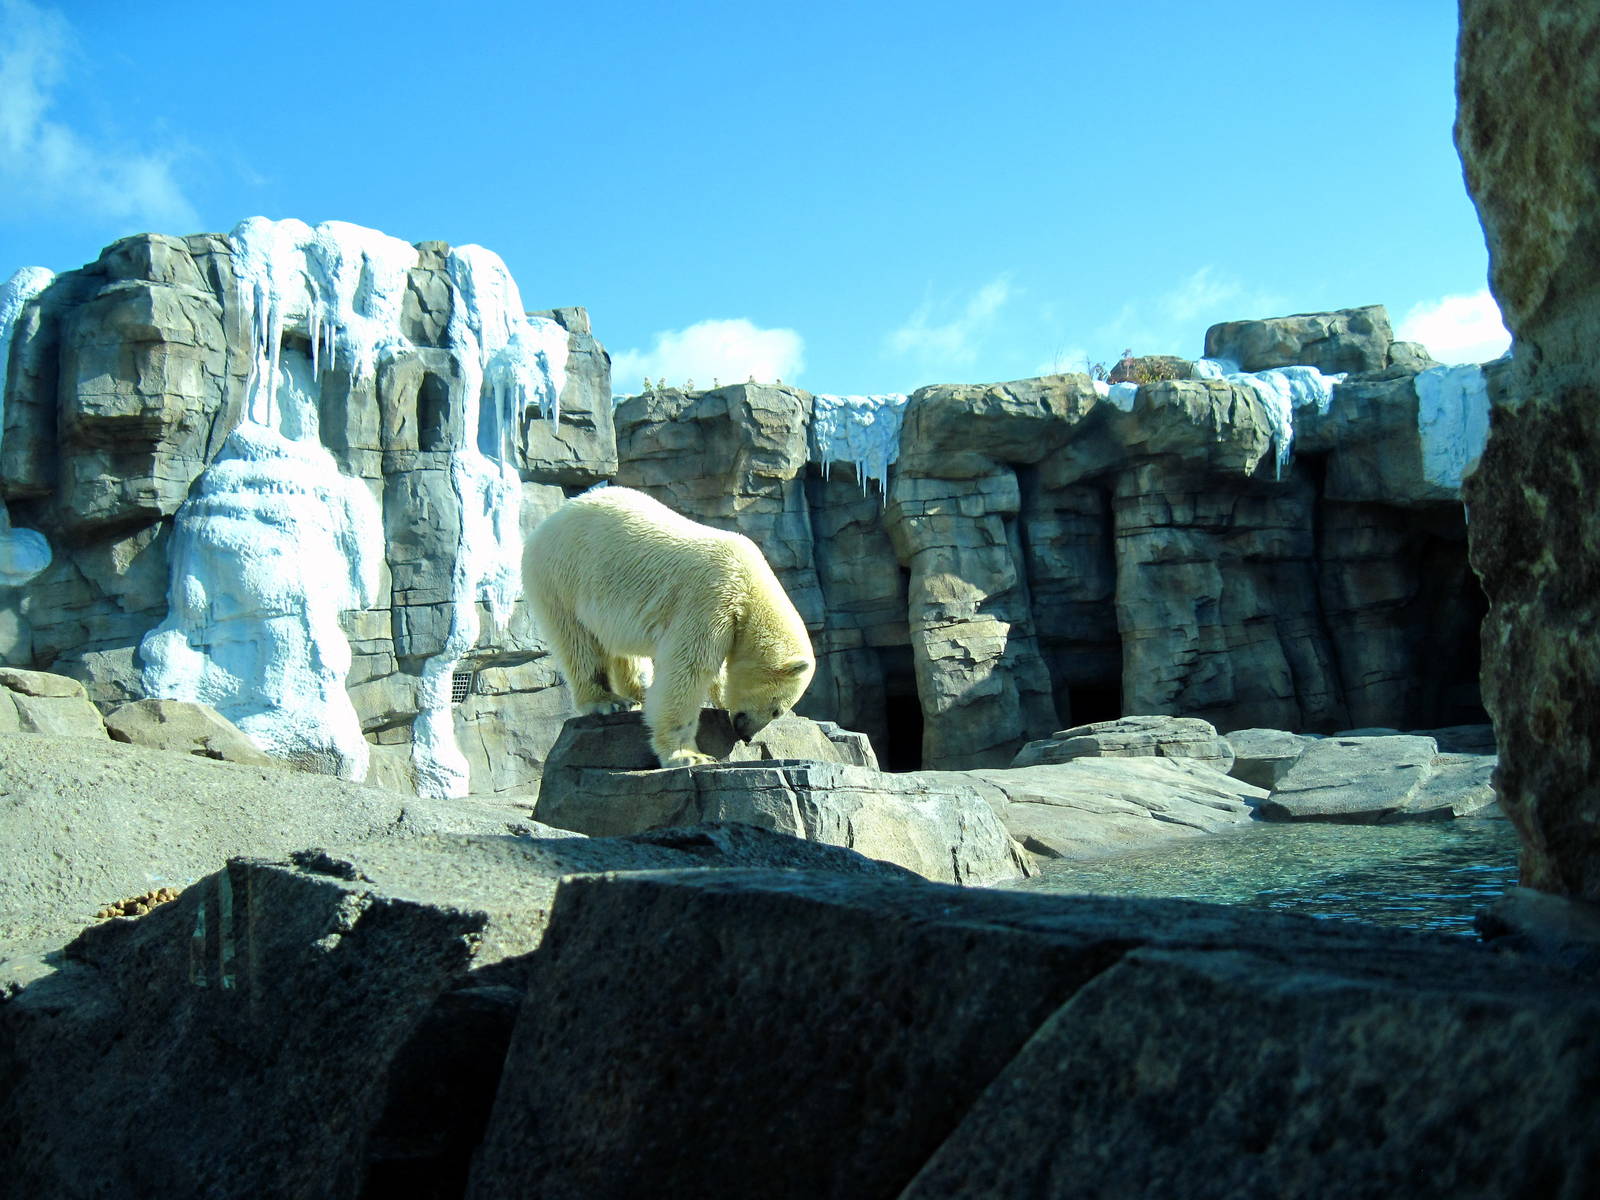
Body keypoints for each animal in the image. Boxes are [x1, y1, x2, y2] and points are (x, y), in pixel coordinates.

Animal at [523, 485, 816, 768]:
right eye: (777, 709)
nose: (746, 735)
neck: (749, 584)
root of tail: (548, 522)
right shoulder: (710, 599)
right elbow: (688, 670)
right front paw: (689, 756)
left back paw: (640, 693)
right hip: (562, 577)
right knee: (578, 642)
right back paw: (607, 701)